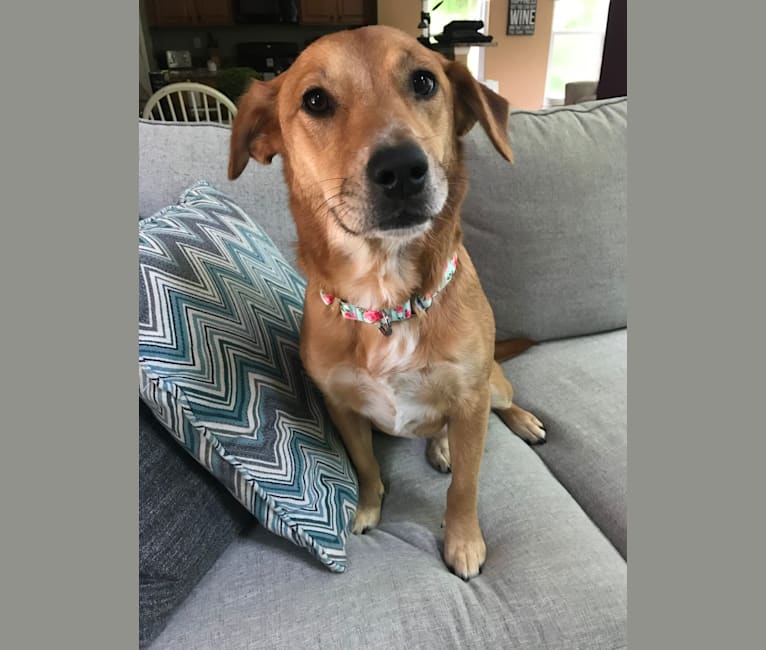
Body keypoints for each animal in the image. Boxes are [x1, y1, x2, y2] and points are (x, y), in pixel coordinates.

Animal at [228, 25, 544, 576]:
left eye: (424, 81)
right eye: (315, 100)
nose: (401, 169)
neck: (387, 299)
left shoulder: (471, 402)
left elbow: (465, 487)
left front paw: (463, 541)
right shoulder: (343, 407)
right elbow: (367, 466)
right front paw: (368, 509)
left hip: (491, 386)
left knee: (501, 402)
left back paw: (514, 423)